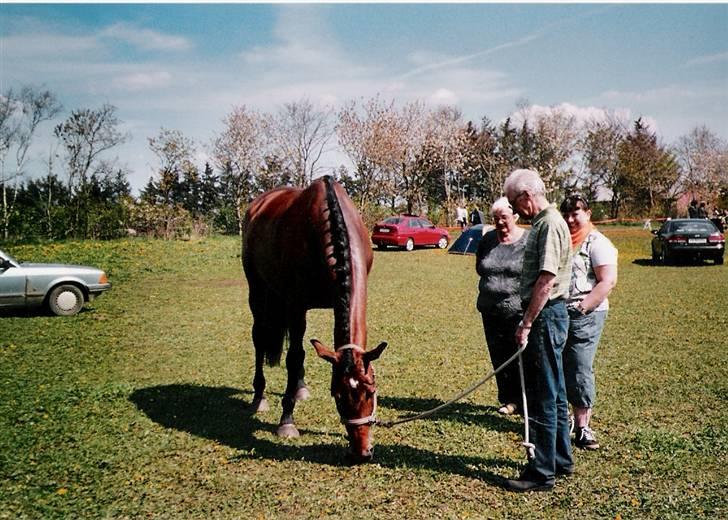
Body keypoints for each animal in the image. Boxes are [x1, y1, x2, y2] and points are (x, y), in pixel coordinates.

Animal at [242, 175, 386, 464]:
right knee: (260, 338)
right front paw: (286, 420)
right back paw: (259, 396)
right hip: (259, 290)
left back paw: (299, 387)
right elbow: (294, 356)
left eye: (371, 392)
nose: (361, 452)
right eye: (337, 396)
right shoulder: (296, 304)